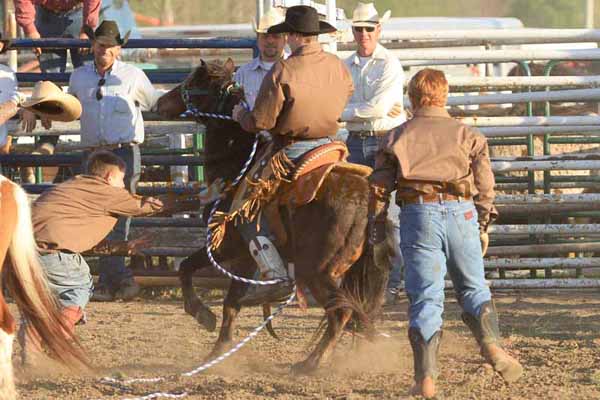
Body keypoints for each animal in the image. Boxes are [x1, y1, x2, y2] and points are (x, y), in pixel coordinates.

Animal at [156, 60, 390, 376]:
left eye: (192, 83)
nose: (160, 102)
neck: (236, 165)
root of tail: (366, 196)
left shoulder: (227, 244)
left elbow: (187, 268)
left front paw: (202, 315)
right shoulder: (244, 255)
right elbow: (231, 302)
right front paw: (219, 351)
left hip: (317, 269)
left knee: (340, 311)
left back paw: (309, 363)